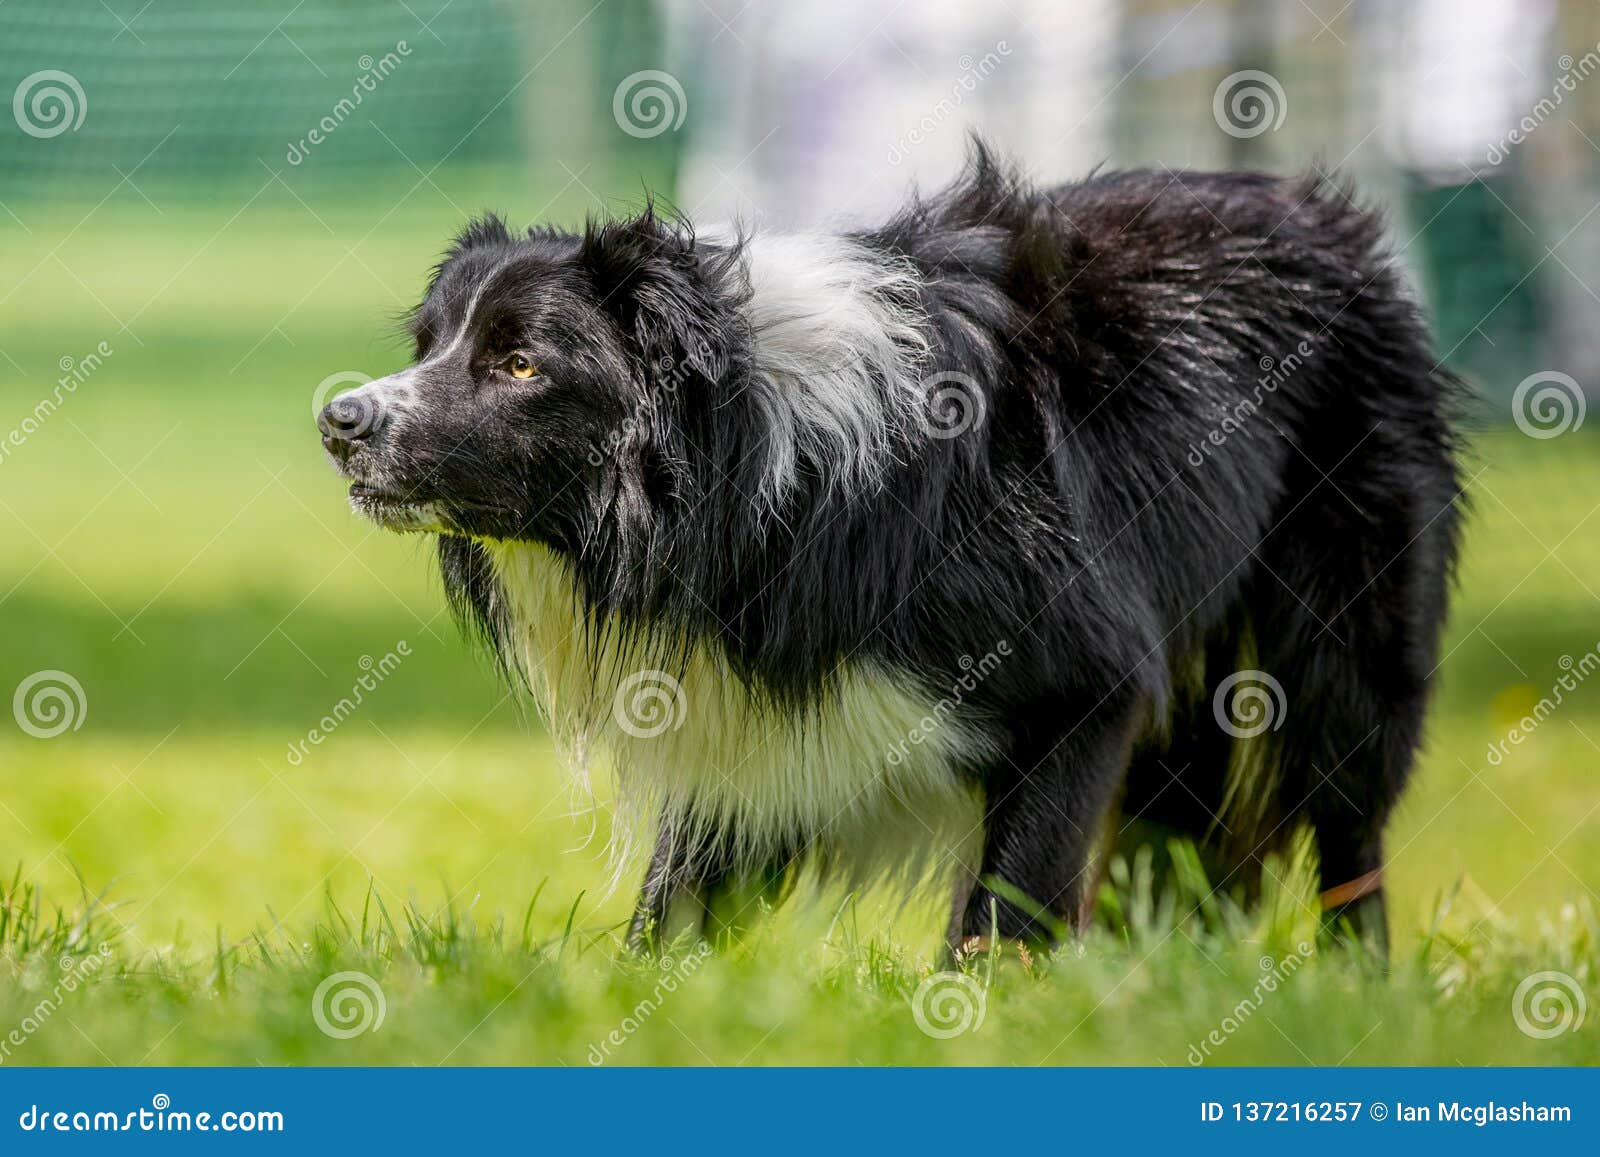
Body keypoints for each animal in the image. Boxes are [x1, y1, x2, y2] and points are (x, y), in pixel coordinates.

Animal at [315, 144, 1465, 953]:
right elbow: (675, 897)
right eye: (432, 344)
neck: (754, 464)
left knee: (1347, 811)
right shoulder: (751, 711)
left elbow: (1004, 904)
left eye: (519, 364)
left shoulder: (1080, 668)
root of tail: (1323, 214)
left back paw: (1353, 983)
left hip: (1345, 614)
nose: (338, 422)